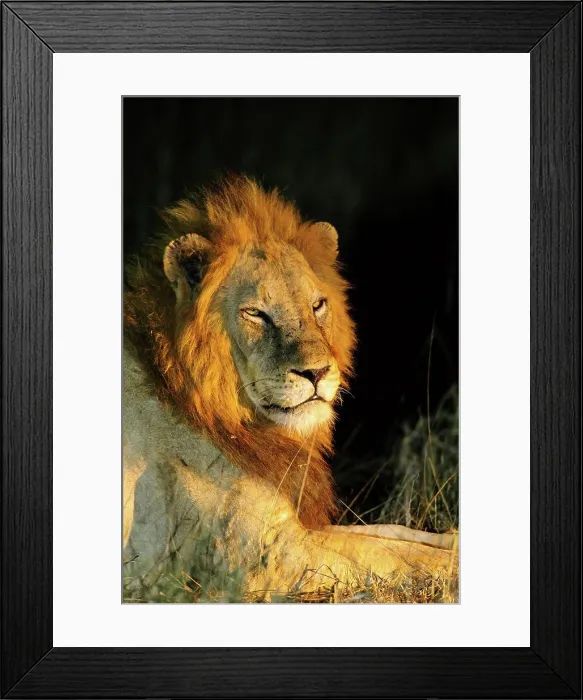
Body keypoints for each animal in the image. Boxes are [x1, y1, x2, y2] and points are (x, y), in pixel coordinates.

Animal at [123, 176, 458, 600]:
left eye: (317, 305)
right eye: (256, 314)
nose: (316, 373)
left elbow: (392, 534)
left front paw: (453, 538)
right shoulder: (260, 558)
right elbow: (386, 554)